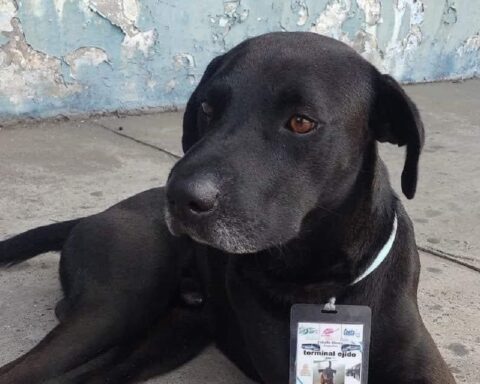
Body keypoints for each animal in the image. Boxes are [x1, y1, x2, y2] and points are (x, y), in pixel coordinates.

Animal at [0, 33, 454, 384]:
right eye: (206, 108)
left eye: (301, 122)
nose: (180, 198)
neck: (326, 284)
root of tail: (96, 215)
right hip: (117, 303)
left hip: (170, 337)